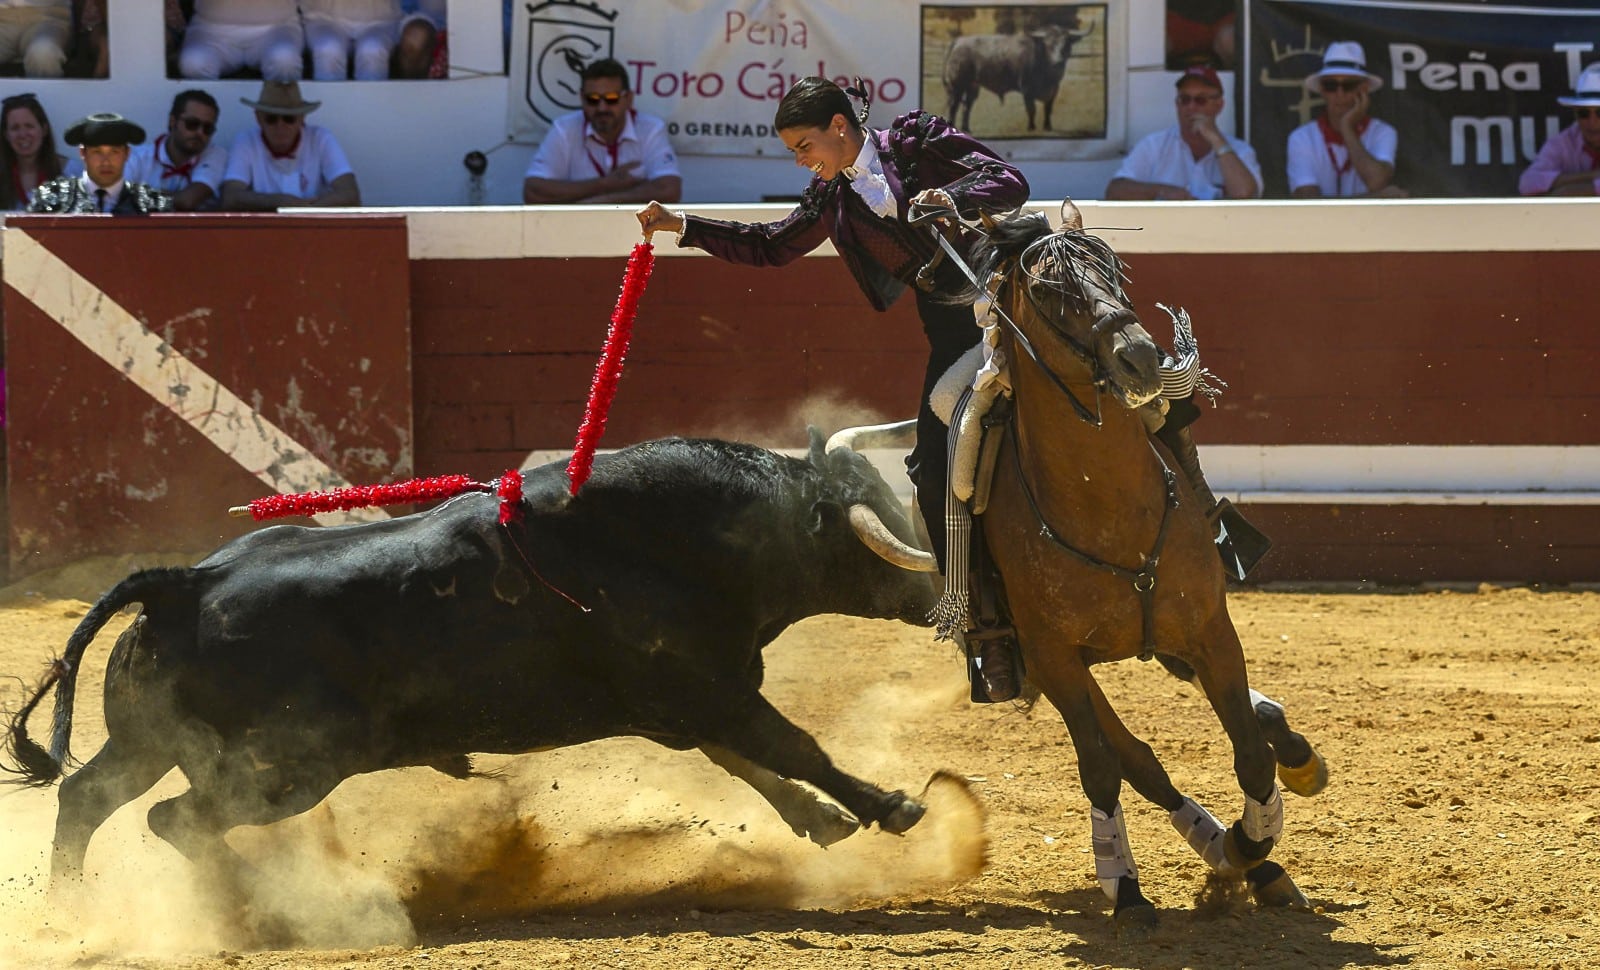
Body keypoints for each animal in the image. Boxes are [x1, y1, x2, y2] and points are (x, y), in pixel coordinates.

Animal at [6, 432, 940, 902]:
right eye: (871, 528)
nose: (944, 594)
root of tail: (186, 583)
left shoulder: (685, 704)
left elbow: (754, 763)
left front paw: (826, 823)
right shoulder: (704, 689)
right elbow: (791, 747)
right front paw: (892, 807)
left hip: (149, 741)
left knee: (87, 798)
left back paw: (71, 914)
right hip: (294, 766)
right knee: (177, 820)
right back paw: (252, 902)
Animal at [934, 203, 1312, 934]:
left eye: (1115, 271)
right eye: (1050, 292)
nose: (1140, 355)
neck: (1105, 503)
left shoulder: (1211, 630)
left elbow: (1250, 754)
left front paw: (1251, 839)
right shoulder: (1053, 658)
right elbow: (1103, 766)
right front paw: (1127, 886)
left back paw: (1254, 850)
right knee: (1134, 758)